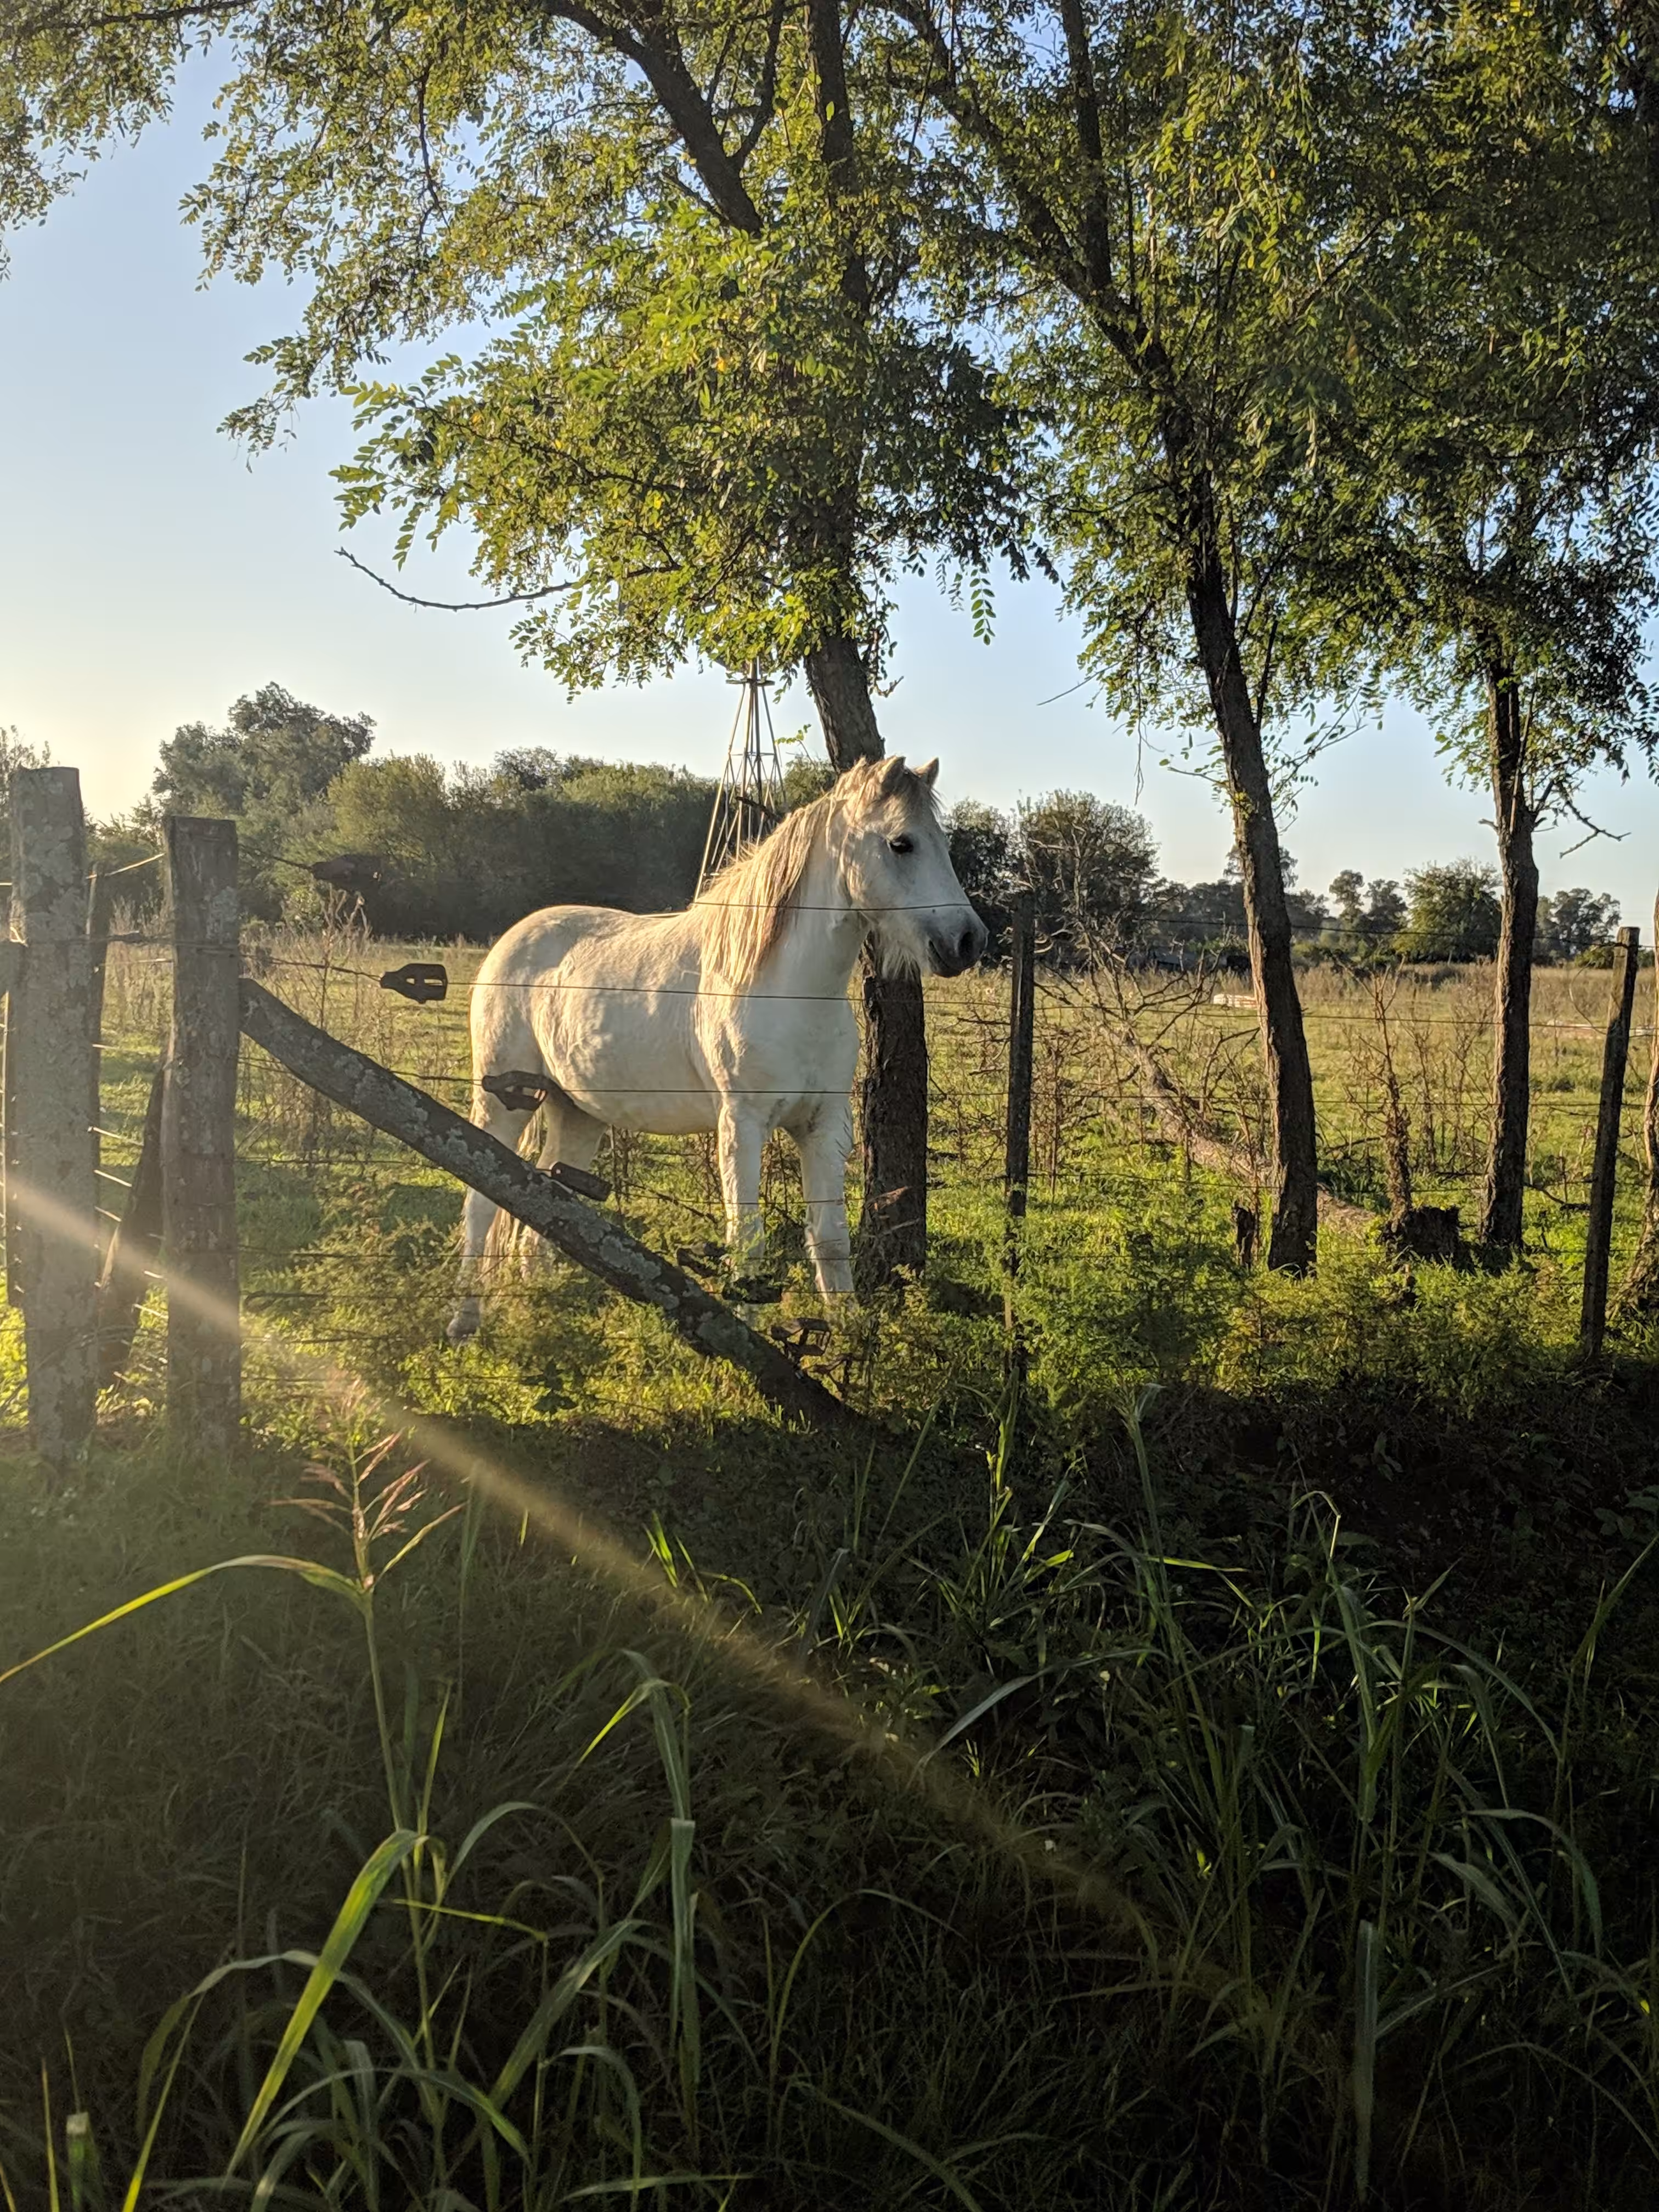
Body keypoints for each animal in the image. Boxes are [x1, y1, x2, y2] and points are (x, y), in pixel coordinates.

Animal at [448, 754, 986, 1341]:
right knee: (481, 1199)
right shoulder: (741, 1127)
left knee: (542, 1204)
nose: (968, 941)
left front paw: (849, 1339)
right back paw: (465, 1321)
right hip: (504, 1101)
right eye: (901, 843)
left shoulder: (823, 1126)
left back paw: (535, 1312)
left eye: (940, 842)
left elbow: (830, 1240)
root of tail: (510, 943)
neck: (785, 989)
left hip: (577, 1113)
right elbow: (747, 1245)